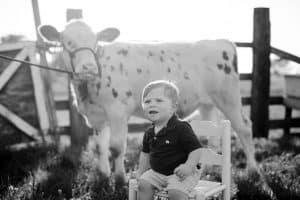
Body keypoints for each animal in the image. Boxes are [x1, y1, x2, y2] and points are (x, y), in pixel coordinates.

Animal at [37, 20, 258, 186]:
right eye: (67, 41)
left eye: (96, 41)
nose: (88, 67)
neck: (88, 90)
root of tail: (222, 41)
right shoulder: (96, 116)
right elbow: (100, 146)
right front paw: (103, 175)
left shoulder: (118, 110)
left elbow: (116, 147)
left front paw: (120, 179)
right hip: (208, 102)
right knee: (212, 135)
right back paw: (209, 169)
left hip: (228, 97)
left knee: (244, 127)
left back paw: (253, 170)